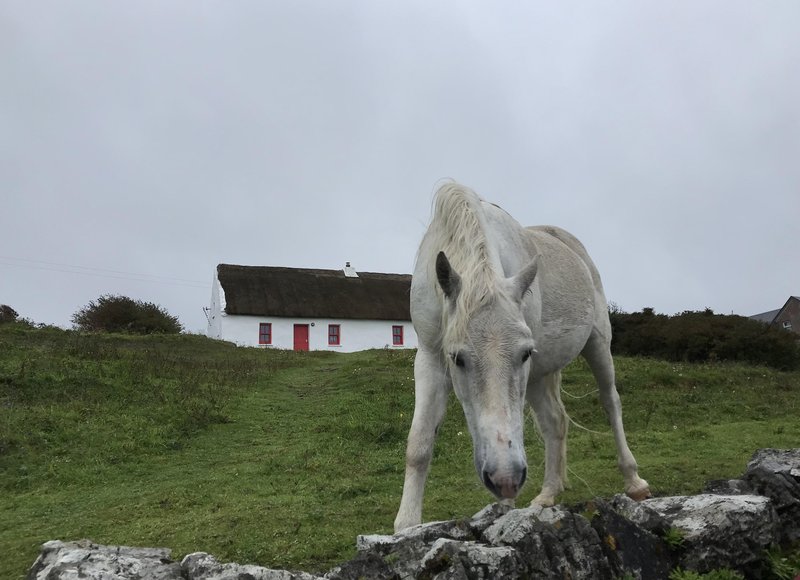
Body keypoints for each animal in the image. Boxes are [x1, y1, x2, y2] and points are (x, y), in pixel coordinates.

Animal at [394, 184, 648, 532]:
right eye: (457, 359)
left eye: (525, 352)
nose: (507, 479)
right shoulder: (430, 358)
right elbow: (419, 442)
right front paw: (406, 525)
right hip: (541, 376)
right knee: (554, 422)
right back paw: (547, 494)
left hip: (597, 345)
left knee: (611, 403)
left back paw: (634, 481)